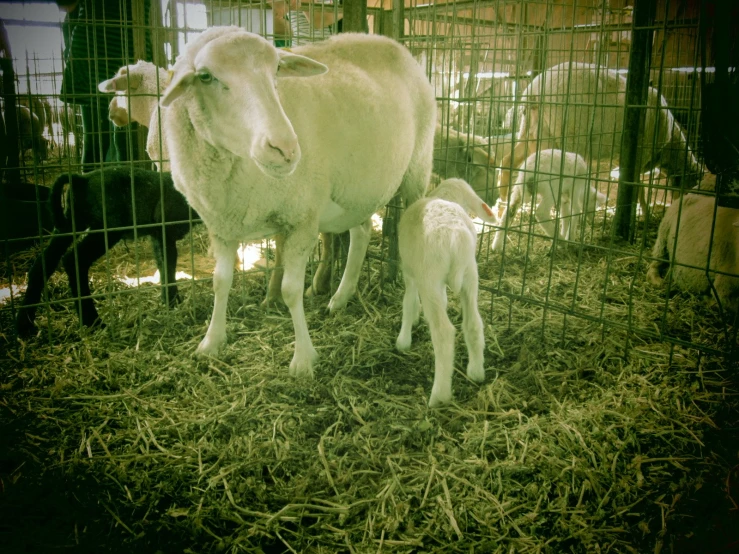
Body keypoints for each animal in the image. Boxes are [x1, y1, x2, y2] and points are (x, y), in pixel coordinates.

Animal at [17, 166, 197, 334]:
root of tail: (81, 179)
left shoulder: (158, 235)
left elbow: (165, 265)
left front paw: (171, 302)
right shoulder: (165, 229)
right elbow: (169, 265)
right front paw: (174, 302)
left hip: (70, 223)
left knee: (44, 263)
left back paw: (25, 325)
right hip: (107, 227)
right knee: (73, 259)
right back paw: (94, 322)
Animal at [161, 28, 436, 378]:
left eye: (277, 69)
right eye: (206, 77)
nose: (285, 148)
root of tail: (388, 41)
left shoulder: (301, 218)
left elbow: (291, 291)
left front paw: (303, 359)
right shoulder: (221, 224)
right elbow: (220, 282)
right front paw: (211, 342)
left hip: (417, 167)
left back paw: (412, 315)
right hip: (357, 186)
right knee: (360, 233)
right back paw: (341, 297)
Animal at [398, 177, 498, 406]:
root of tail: (455, 235)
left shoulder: (410, 273)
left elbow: (408, 303)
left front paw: (403, 340)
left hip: (429, 279)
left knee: (443, 332)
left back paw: (438, 396)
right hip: (470, 273)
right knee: (473, 323)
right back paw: (476, 372)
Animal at [500, 62, 704, 213]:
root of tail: (533, 90)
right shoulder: (641, 153)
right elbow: (637, 186)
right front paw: (643, 212)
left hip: (533, 131)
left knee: (509, 159)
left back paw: (503, 199)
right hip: (559, 136)